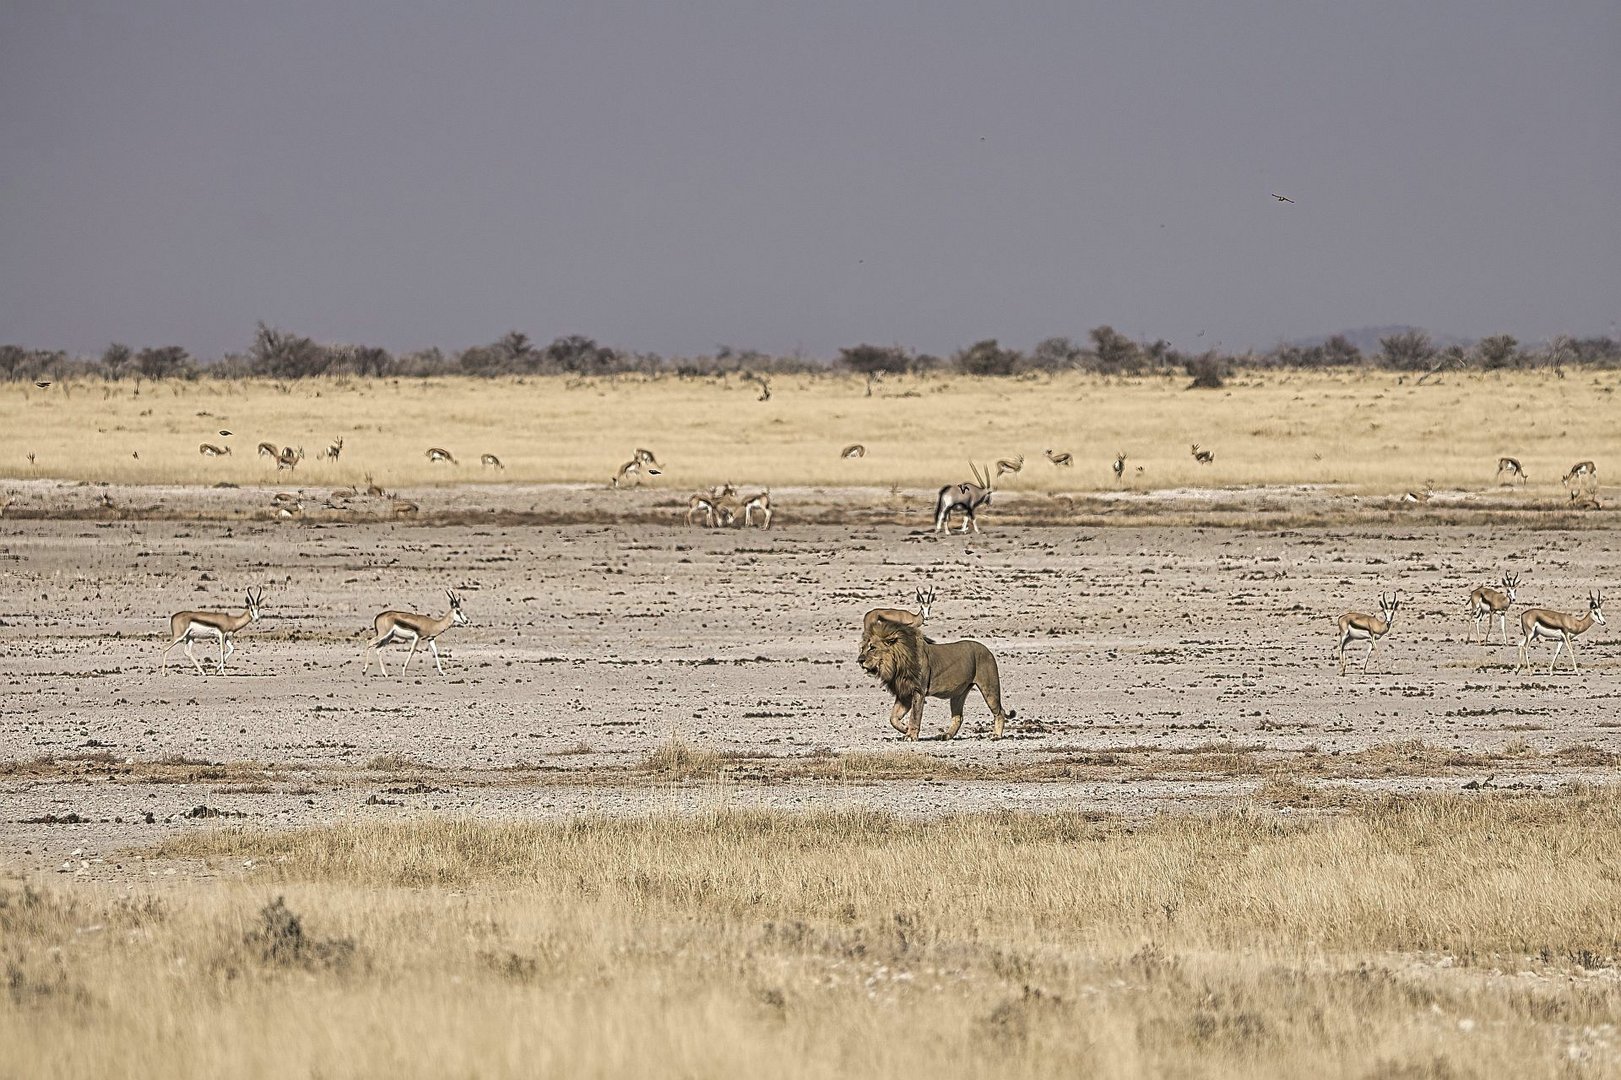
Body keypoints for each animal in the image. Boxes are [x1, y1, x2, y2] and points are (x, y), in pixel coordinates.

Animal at [862, 612, 1011, 739]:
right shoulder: (904, 694)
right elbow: (893, 718)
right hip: (958, 694)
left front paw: (910, 736)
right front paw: (905, 729)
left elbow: (914, 716)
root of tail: (987, 649)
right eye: (863, 648)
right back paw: (946, 735)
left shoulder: (918, 691)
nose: (859, 660)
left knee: (1000, 712)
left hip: (989, 688)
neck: (897, 665)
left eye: (872, 648)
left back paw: (996, 735)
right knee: (958, 717)